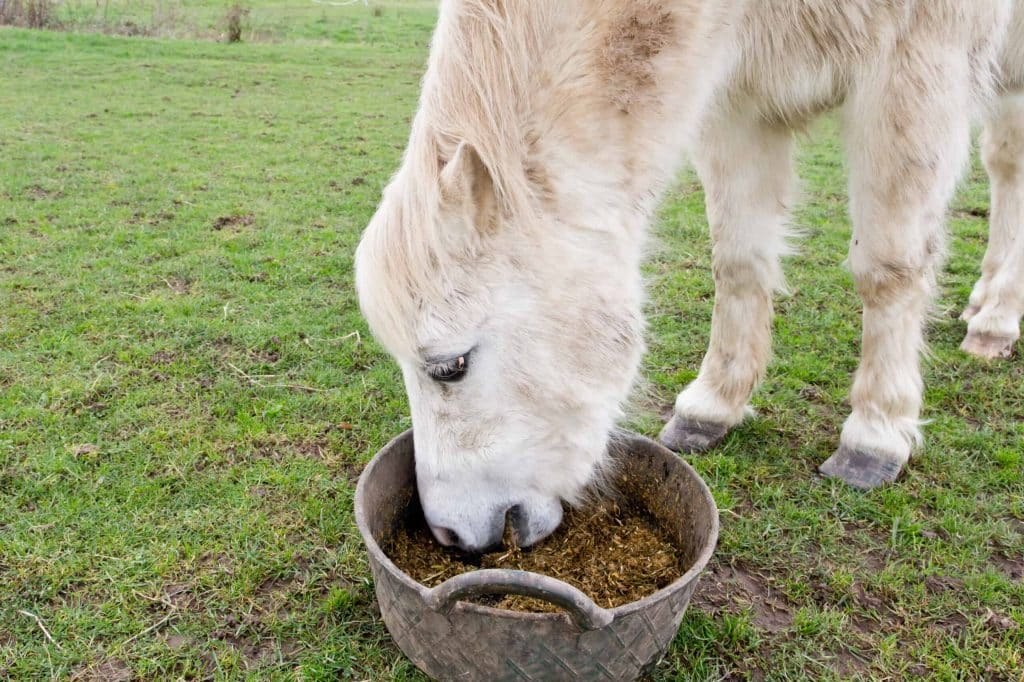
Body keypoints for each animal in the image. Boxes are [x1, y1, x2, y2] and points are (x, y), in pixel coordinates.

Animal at [358, 0, 1024, 548]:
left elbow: (888, 267)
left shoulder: (914, 66)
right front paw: (713, 407)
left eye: (452, 367)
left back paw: (995, 321)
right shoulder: (740, 100)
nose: (448, 534)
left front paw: (875, 434)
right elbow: (738, 260)